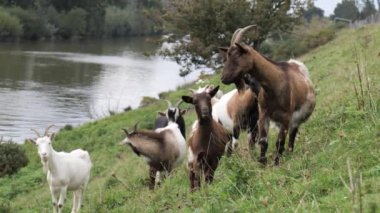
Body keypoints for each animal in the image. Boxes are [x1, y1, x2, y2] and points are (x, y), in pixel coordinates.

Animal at [218, 25, 316, 165]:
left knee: (292, 134)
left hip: (295, 118)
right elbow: (263, 141)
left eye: (237, 55)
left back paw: (290, 152)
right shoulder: (264, 114)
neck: (274, 84)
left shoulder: (286, 116)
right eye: (226, 56)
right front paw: (262, 162)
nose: (223, 78)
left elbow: (279, 142)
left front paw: (276, 163)